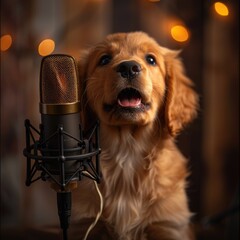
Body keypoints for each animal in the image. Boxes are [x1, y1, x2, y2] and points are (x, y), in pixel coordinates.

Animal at [75, 31, 199, 240]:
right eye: (104, 59)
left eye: (151, 59)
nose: (128, 67)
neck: (127, 150)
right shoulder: (85, 224)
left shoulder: (169, 225)